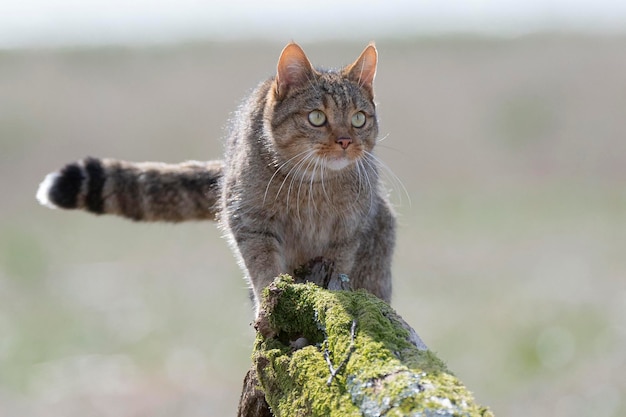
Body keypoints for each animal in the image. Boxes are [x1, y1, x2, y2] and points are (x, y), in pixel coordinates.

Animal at [36, 44, 392, 314]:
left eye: (359, 119)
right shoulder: (249, 220)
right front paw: (268, 301)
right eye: (317, 117)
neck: (312, 185)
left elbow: (340, 260)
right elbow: (263, 267)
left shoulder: (351, 228)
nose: (345, 141)